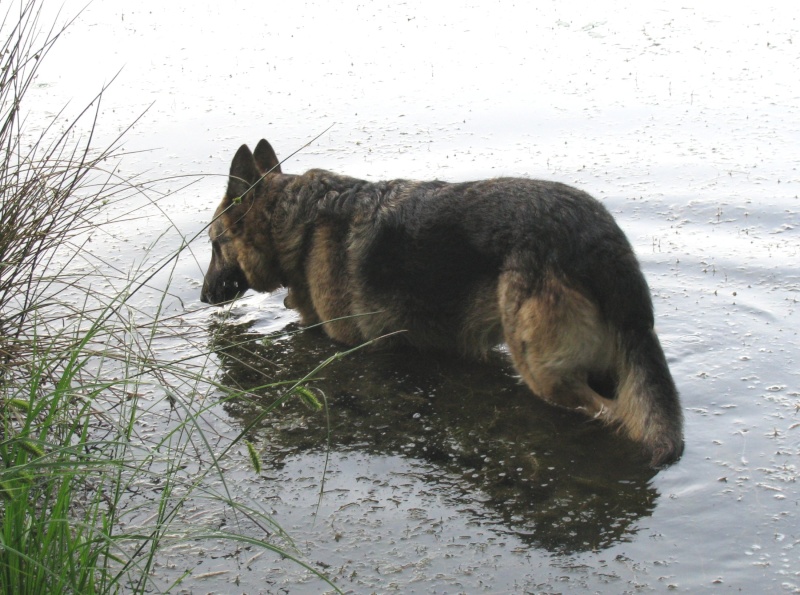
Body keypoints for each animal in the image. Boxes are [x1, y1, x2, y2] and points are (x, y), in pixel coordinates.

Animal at [200, 141, 680, 470]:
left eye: (213, 243)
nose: (203, 297)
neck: (293, 222)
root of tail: (599, 237)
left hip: (544, 371)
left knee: (611, 415)